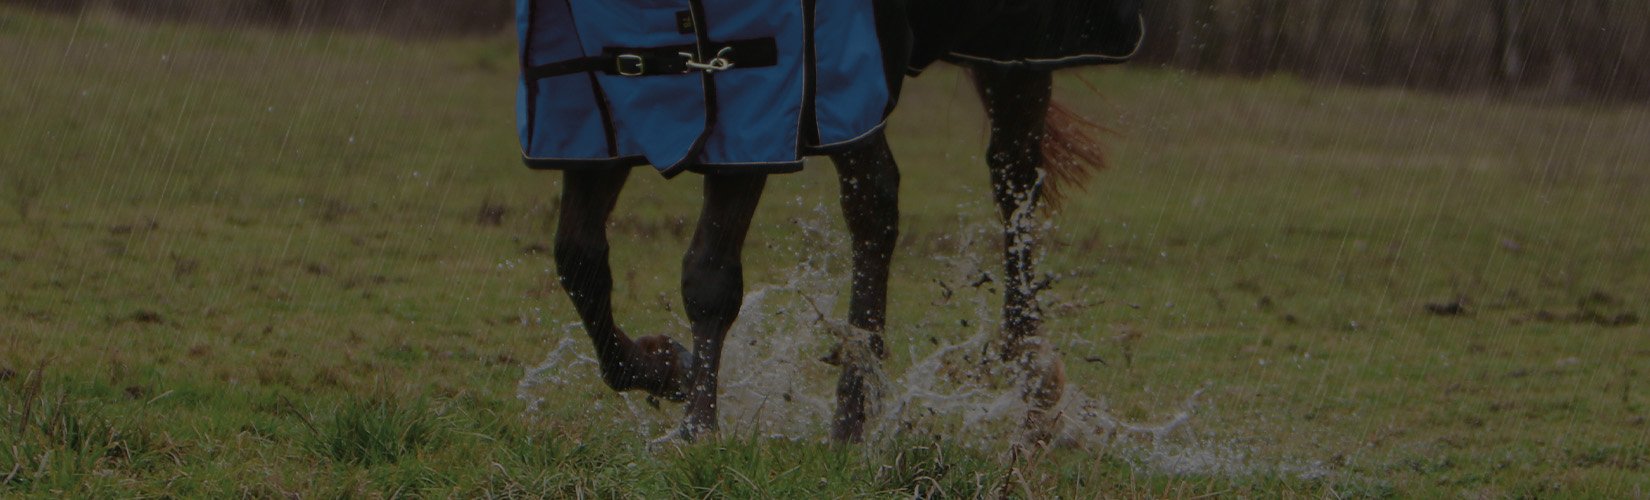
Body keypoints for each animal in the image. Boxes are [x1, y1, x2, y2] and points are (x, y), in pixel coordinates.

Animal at [545, 0, 1139, 444]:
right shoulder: (595, 100)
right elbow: (578, 261)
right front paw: (665, 367)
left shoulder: (754, 97)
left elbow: (708, 276)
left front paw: (697, 429)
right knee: (876, 203)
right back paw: (858, 403)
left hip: (1009, 50)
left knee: (1011, 176)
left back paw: (1025, 378)